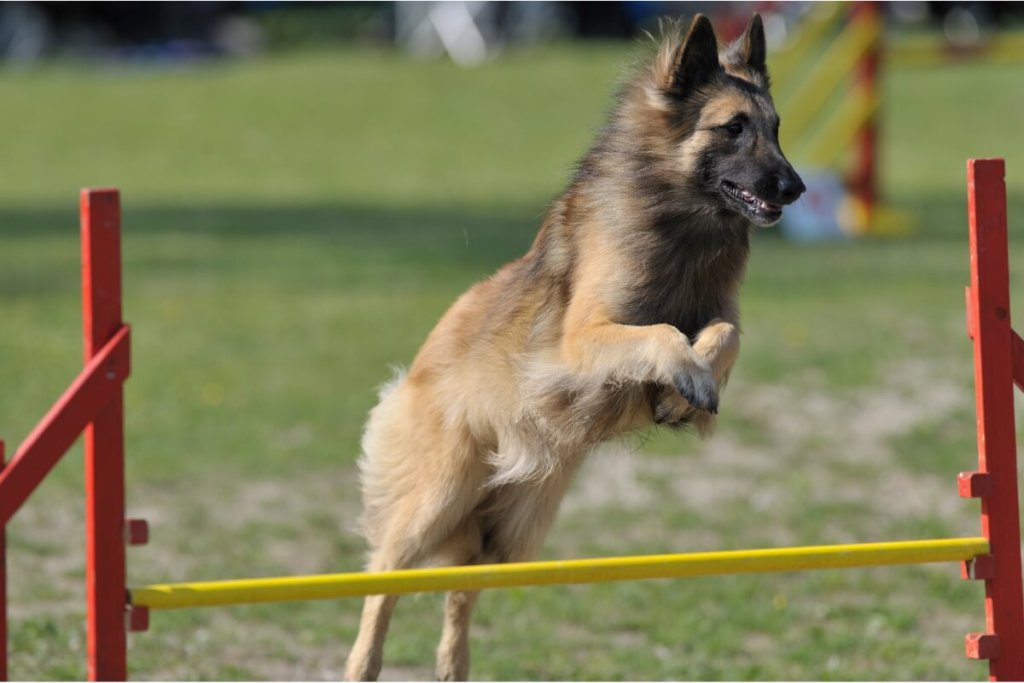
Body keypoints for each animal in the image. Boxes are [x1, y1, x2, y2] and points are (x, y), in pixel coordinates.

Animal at [348, 13, 802, 679]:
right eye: (734, 127)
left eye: (775, 128)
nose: (796, 188)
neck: (679, 228)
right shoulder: (580, 341)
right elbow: (662, 332)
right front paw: (685, 377)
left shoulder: (719, 314)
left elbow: (724, 335)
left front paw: (685, 392)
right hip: (436, 498)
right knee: (382, 575)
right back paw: (364, 661)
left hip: (512, 532)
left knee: (460, 591)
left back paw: (454, 664)